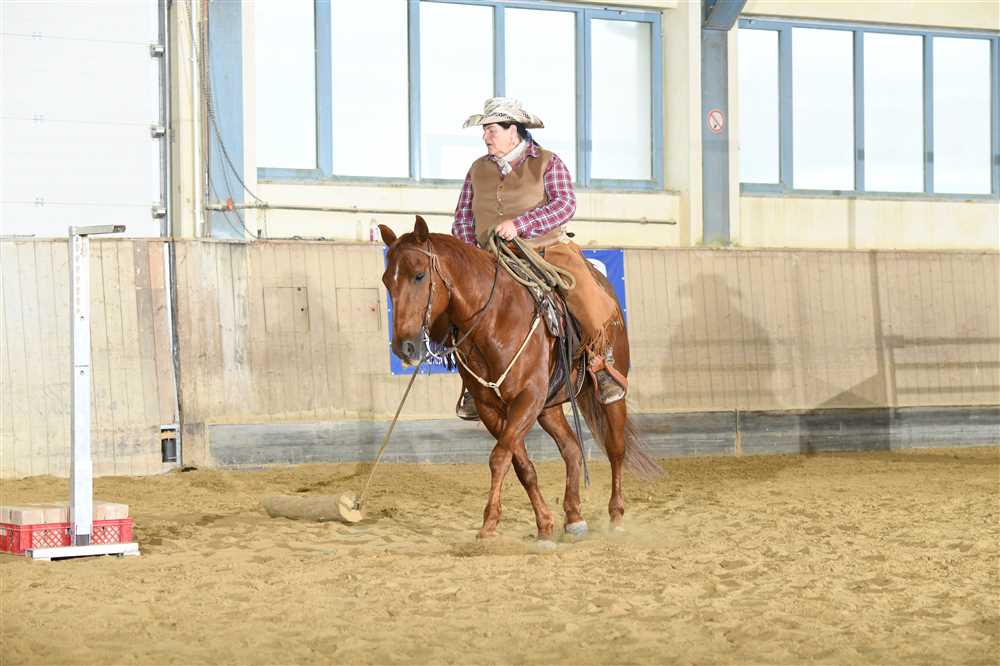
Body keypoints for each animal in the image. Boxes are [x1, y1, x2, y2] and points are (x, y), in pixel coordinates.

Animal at [379, 216, 661, 540]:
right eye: (387, 280)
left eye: (419, 275)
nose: (404, 347)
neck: (495, 319)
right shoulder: (492, 408)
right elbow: (521, 465)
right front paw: (544, 524)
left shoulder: (528, 398)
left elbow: (499, 457)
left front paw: (489, 524)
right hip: (549, 407)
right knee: (572, 448)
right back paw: (574, 516)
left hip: (608, 395)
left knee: (616, 450)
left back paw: (616, 517)